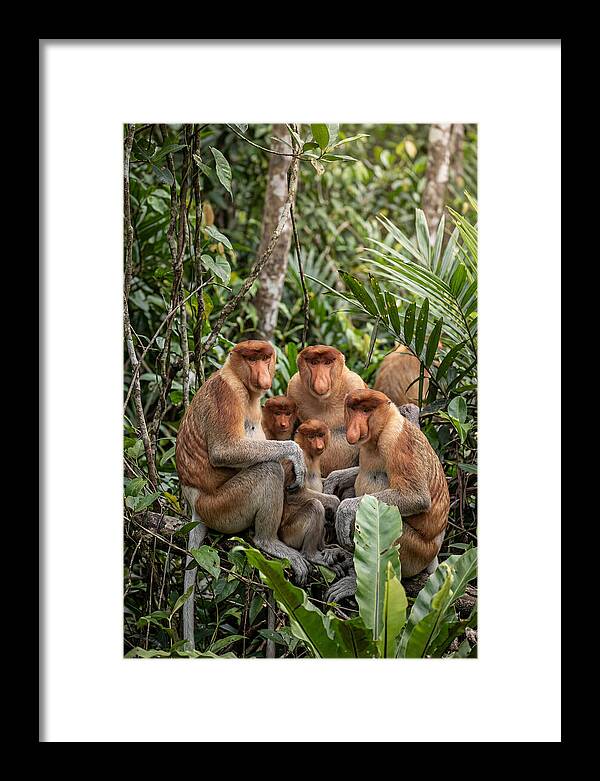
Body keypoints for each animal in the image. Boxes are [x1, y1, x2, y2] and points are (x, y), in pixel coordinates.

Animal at [175, 340, 311, 590]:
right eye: (251, 359)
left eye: (265, 358)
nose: (262, 374)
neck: (238, 377)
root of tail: (194, 501)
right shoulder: (227, 393)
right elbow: (224, 450)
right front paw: (295, 454)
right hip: (221, 507)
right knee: (268, 470)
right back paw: (267, 542)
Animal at [287, 345, 367, 478]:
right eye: (314, 362)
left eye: (327, 362)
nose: (321, 381)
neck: (324, 402)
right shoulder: (293, 388)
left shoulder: (354, 383)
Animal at [323, 389, 450, 604]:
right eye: (353, 409)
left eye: (366, 410)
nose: (354, 429)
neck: (383, 427)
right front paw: (333, 480)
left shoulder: (397, 442)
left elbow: (416, 497)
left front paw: (345, 509)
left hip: (415, 551)